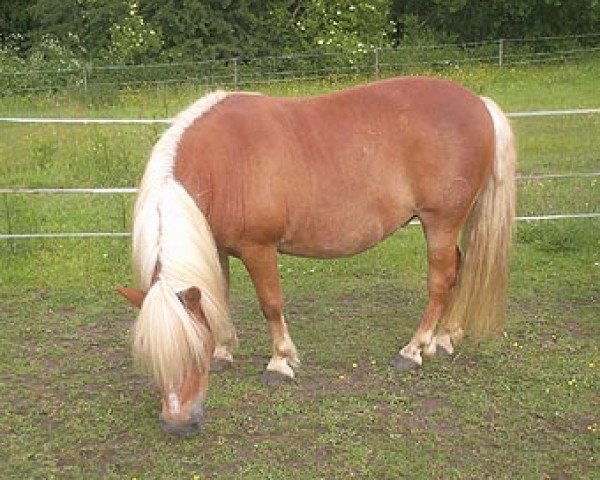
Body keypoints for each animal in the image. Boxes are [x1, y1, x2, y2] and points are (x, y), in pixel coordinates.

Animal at [117, 77, 516, 436]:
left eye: (193, 350)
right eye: (151, 354)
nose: (178, 426)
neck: (224, 161)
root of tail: (479, 103)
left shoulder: (258, 248)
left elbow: (270, 304)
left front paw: (279, 363)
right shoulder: (217, 247)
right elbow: (219, 302)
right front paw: (225, 352)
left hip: (441, 223)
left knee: (441, 280)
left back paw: (414, 350)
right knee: (459, 270)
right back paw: (445, 339)